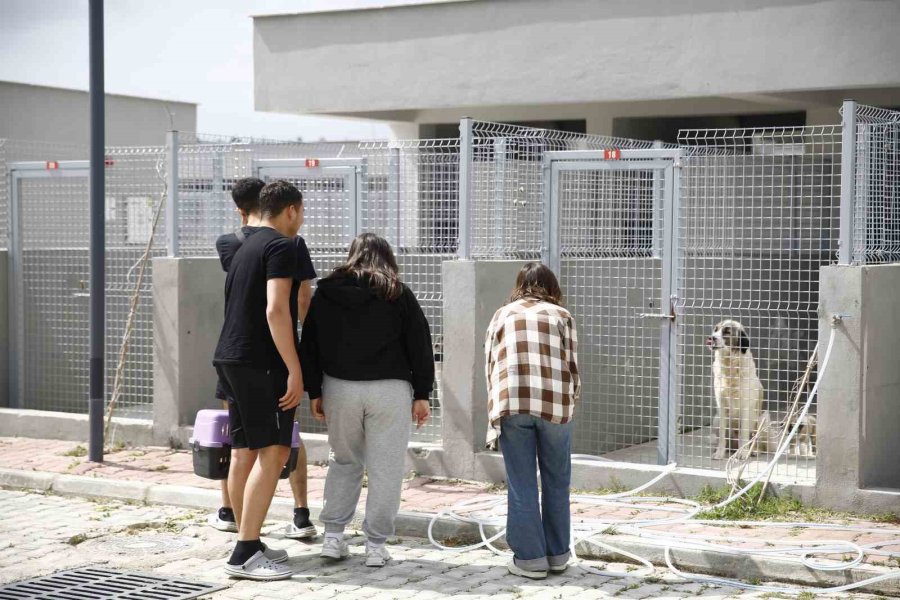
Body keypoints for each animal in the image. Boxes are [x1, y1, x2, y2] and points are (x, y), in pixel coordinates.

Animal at [708, 322, 764, 462]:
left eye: (727, 332)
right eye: (715, 330)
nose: (711, 338)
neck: (730, 364)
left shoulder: (745, 407)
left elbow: (743, 433)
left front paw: (743, 453)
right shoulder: (722, 406)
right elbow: (722, 434)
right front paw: (719, 453)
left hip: (761, 419)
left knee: (754, 439)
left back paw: (752, 451)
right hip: (716, 419)